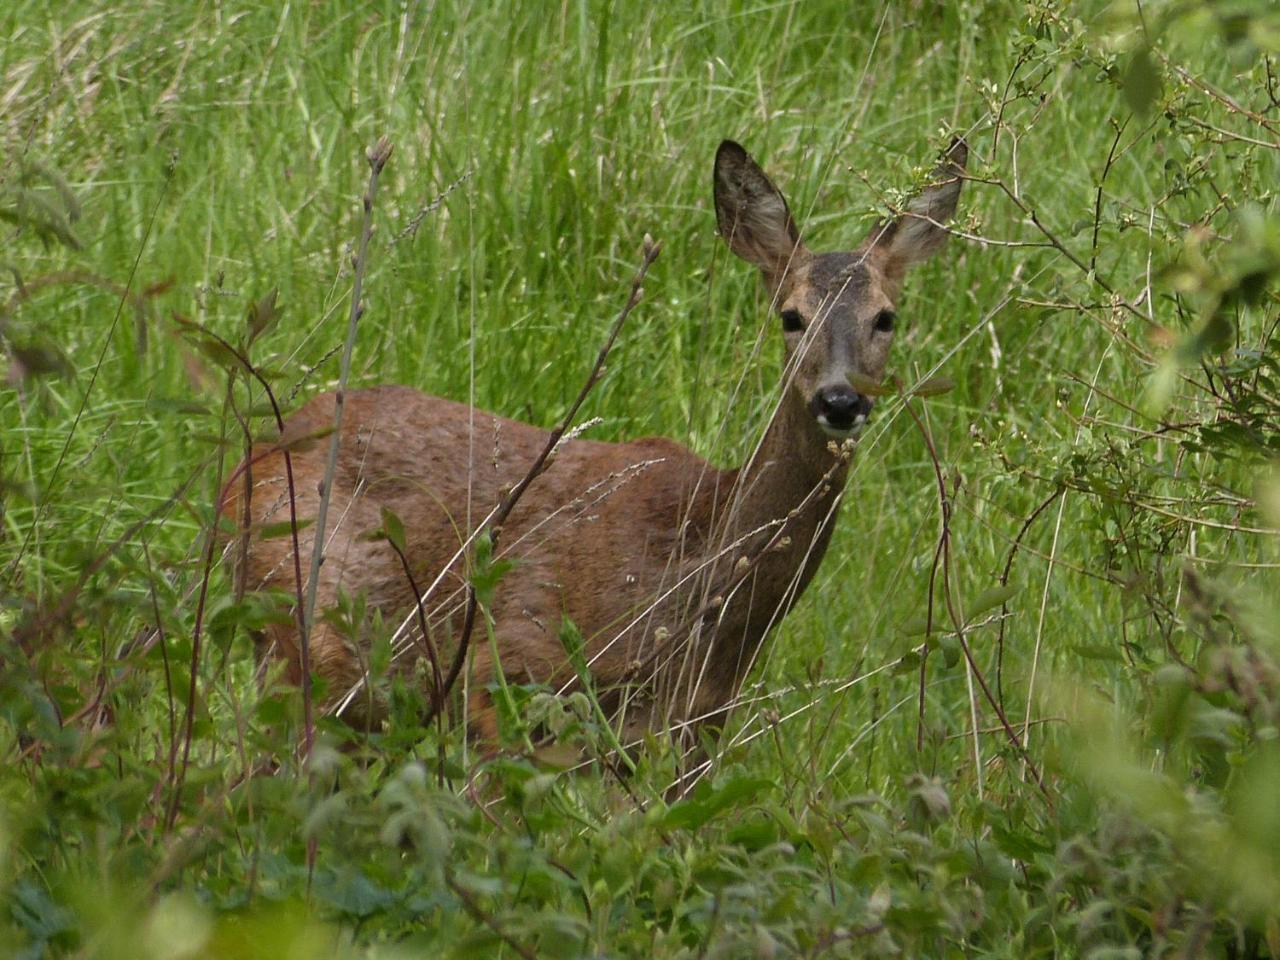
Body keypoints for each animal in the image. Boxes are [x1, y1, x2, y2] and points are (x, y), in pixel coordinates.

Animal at [222, 136, 962, 742]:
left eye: (886, 317)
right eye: (791, 315)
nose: (840, 400)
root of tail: (243, 468)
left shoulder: (695, 724)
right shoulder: (509, 670)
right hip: (303, 642)